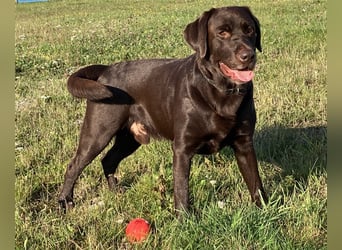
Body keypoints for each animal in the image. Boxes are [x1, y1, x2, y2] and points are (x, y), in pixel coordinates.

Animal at [58, 6, 268, 216]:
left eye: (249, 30)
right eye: (222, 32)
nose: (249, 55)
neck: (221, 92)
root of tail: (107, 69)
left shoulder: (244, 144)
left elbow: (256, 183)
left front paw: (264, 210)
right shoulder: (182, 149)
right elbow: (181, 190)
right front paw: (184, 219)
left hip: (129, 138)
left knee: (108, 160)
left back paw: (116, 192)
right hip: (98, 133)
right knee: (74, 165)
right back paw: (65, 201)